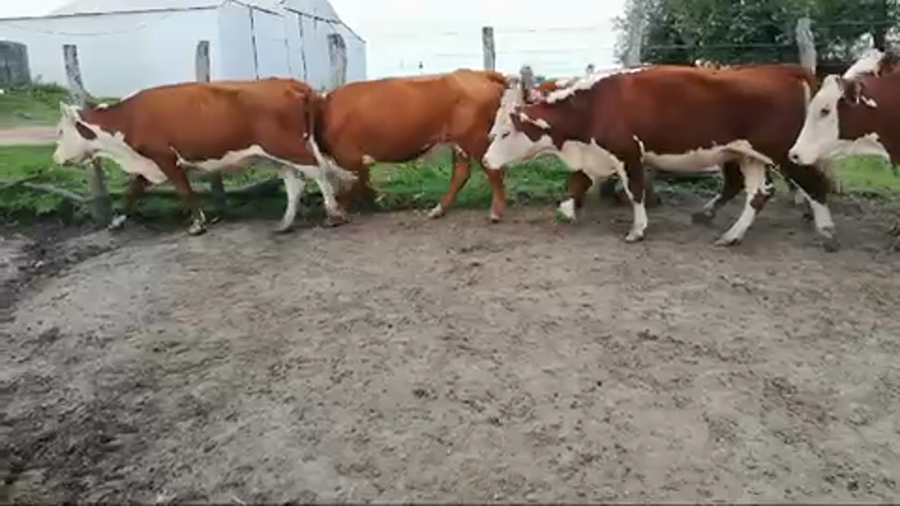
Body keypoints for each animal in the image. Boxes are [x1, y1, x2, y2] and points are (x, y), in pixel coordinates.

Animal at [52, 78, 356, 236]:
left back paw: (333, 215)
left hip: (288, 146)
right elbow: (132, 192)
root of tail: (289, 82)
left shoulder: (165, 157)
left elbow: (184, 190)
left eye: (60, 131)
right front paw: (116, 221)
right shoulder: (149, 164)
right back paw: (285, 223)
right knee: (295, 182)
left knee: (319, 173)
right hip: (277, 154)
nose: (55, 159)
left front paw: (198, 224)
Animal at [313, 69, 520, 223]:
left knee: (492, 168)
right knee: (461, 173)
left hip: (475, 138)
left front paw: (337, 214)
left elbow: (348, 186)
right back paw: (438, 209)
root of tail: (475, 73)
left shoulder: (349, 158)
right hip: (459, 142)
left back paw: (496, 212)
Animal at [482, 63, 840, 250]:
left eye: (505, 133)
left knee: (815, 185)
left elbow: (635, 192)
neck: (594, 105)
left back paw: (826, 231)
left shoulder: (628, 154)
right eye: (493, 131)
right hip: (747, 155)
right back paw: (731, 234)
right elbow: (577, 182)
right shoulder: (598, 153)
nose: (486, 161)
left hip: (785, 153)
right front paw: (567, 210)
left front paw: (638, 229)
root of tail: (783, 70)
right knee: (758, 193)